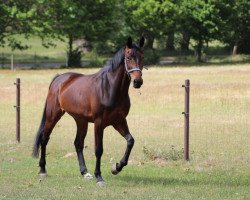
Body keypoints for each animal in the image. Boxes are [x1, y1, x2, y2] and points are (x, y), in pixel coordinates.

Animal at [32, 36, 145, 186]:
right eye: (128, 57)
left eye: (142, 57)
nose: (138, 82)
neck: (109, 88)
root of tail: (59, 79)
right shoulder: (99, 123)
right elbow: (99, 150)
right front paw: (99, 177)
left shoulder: (119, 121)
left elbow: (130, 141)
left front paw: (116, 167)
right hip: (53, 116)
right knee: (45, 139)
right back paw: (42, 170)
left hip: (81, 121)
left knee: (78, 144)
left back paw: (85, 172)